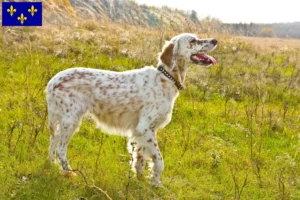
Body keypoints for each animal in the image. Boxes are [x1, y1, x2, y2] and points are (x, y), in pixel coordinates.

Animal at [45, 32, 217, 186]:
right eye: (193, 40)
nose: (215, 40)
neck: (165, 78)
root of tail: (53, 81)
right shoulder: (145, 128)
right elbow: (159, 161)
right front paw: (156, 183)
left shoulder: (140, 131)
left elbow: (139, 159)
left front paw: (140, 180)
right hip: (71, 121)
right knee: (60, 148)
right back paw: (70, 173)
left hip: (63, 121)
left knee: (53, 141)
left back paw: (53, 166)